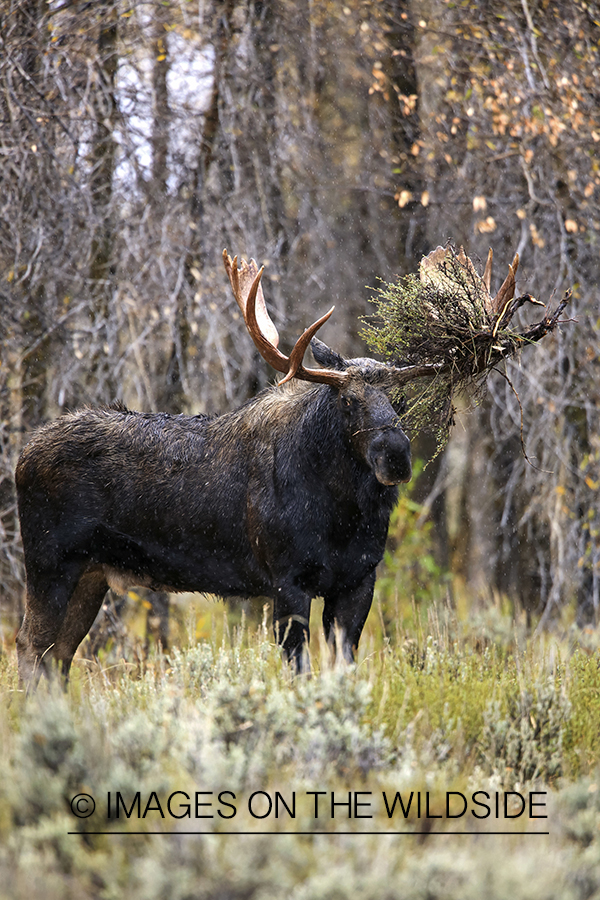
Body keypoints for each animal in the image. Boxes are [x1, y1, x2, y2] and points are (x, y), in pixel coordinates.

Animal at [16, 250, 434, 684]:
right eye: (349, 400)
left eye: (401, 400)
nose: (396, 456)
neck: (342, 514)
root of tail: (24, 453)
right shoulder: (287, 579)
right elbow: (300, 669)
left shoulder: (358, 578)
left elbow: (344, 666)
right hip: (49, 561)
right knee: (31, 646)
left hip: (92, 574)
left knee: (58, 655)